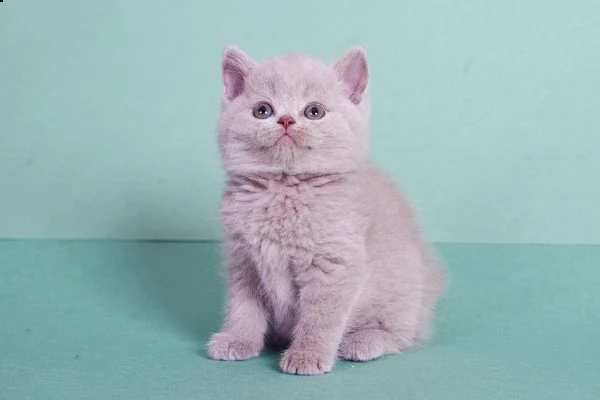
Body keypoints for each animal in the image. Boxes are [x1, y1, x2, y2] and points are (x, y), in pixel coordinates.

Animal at [209, 47, 442, 376]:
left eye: (314, 112)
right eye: (262, 110)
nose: (286, 120)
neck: (284, 188)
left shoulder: (335, 263)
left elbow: (321, 317)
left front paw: (308, 354)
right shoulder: (243, 261)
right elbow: (242, 307)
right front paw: (237, 340)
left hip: (401, 288)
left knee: (402, 335)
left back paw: (364, 342)